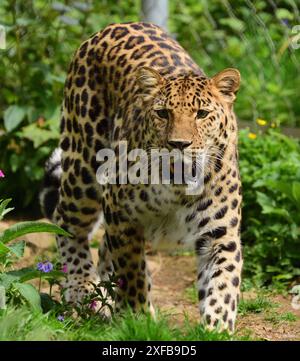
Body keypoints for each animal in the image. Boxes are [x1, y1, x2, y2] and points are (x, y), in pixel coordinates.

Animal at [39, 21, 243, 332]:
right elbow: (131, 273)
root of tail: (114, 26)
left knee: (103, 250)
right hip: (83, 162)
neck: (179, 185)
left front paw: (217, 329)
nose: (179, 144)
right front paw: (139, 317)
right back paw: (82, 290)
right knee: (67, 221)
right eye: (162, 113)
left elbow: (222, 285)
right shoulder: (122, 216)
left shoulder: (220, 235)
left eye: (201, 114)